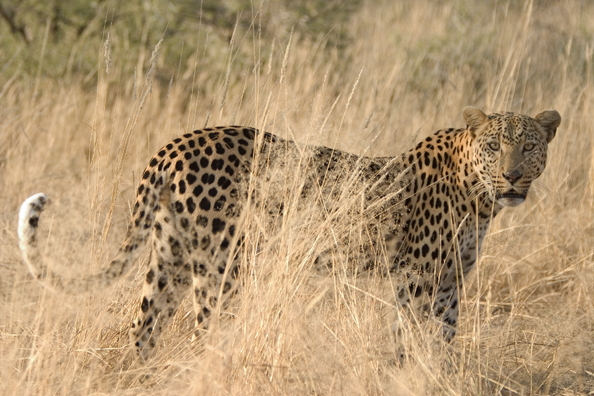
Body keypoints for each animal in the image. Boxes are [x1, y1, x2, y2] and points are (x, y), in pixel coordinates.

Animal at [16, 106, 556, 360]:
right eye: (495, 146)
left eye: (529, 146)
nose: (512, 176)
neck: (480, 198)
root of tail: (177, 141)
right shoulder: (417, 279)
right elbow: (411, 339)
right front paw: (409, 374)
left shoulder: (450, 283)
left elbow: (443, 340)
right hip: (222, 265)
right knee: (205, 330)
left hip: (171, 257)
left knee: (144, 327)